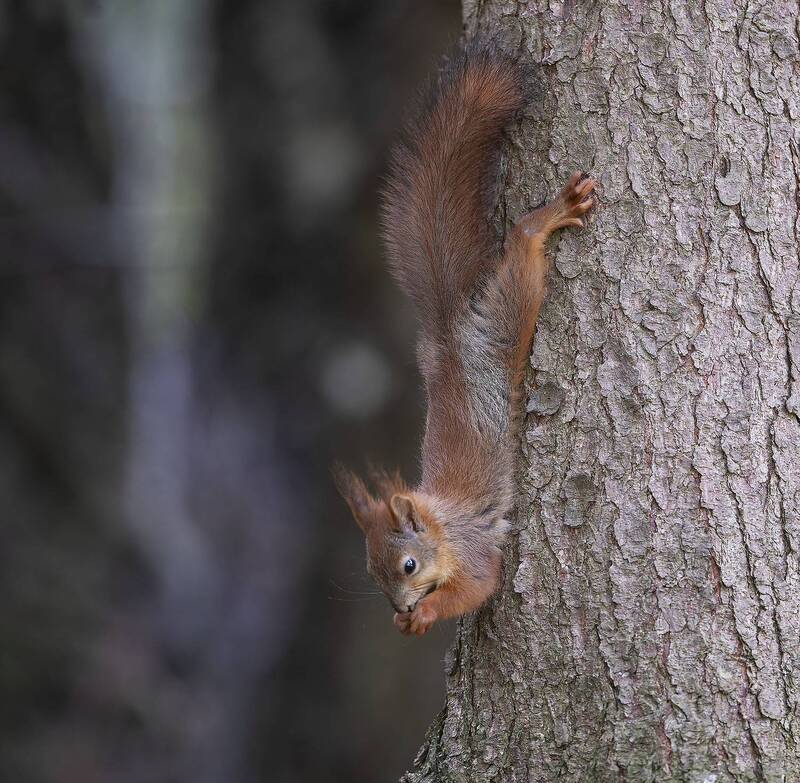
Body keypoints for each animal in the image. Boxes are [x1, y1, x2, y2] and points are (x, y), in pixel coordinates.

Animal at [335, 44, 596, 636]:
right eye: (371, 573)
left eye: (409, 564)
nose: (402, 608)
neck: (440, 528)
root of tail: (448, 339)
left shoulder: (473, 548)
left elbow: (480, 584)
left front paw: (427, 614)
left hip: (505, 321)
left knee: (522, 248)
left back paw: (547, 217)